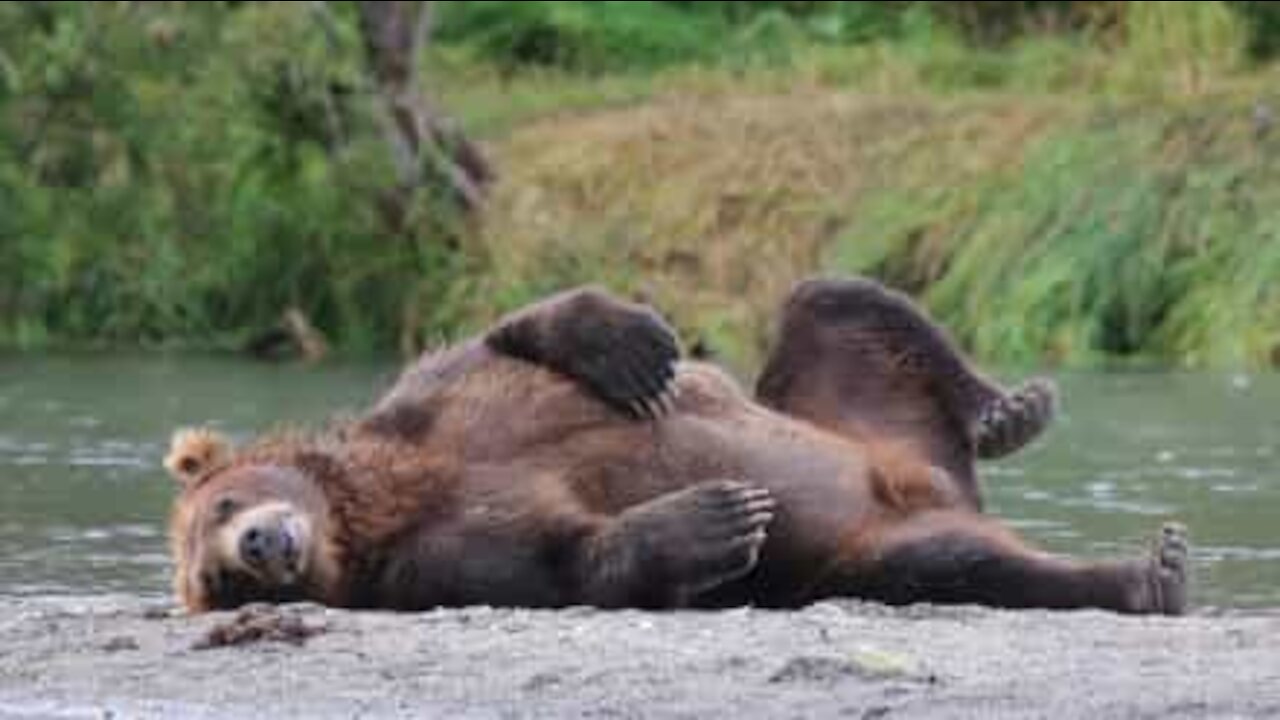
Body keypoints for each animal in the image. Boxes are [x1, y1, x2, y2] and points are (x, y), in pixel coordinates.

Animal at [162, 278, 1187, 614]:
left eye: (221, 501)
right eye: (216, 581)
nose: (258, 544)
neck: (378, 500)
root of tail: (934, 480)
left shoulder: (434, 407)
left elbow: (509, 337)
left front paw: (629, 344)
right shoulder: (433, 559)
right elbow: (564, 561)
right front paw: (716, 518)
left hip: (851, 408)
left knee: (834, 300)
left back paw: (1011, 410)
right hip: (871, 547)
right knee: (955, 565)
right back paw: (1148, 574)